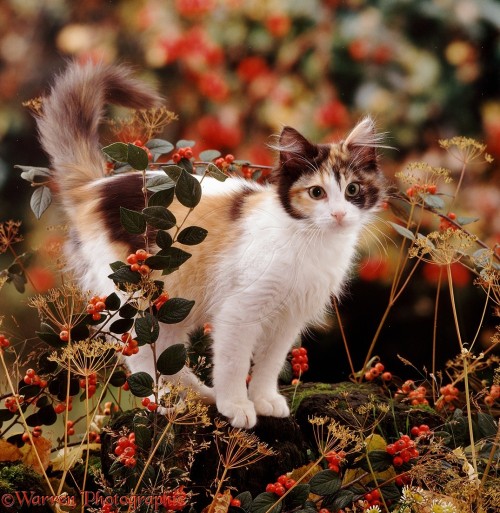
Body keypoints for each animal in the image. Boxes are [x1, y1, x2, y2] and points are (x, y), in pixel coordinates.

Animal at [34, 60, 386, 428]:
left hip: (168, 303)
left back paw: (197, 395)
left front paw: (263, 399)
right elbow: (234, 363)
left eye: (352, 190)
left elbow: (270, 363)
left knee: (165, 353)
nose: (338, 214)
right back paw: (166, 402)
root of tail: (95, 188)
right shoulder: (239, 310)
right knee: (141, 354)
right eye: (317, 193)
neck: (309, 240)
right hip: (133, 298)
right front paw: (236, 405)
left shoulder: (288, 319)